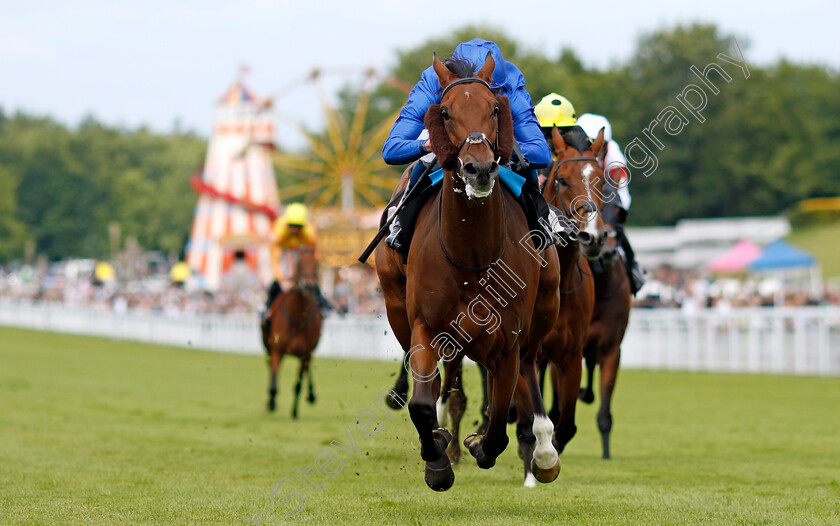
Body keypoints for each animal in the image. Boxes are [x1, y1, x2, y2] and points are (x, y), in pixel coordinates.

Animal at [264, 248, 324, 420]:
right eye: (299, 263)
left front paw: (295, 411)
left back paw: (311, 394)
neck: (297, 319)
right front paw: (271, 403)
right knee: (270, 366)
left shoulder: (305, 353)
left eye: (316, 263)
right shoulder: (277, 350)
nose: (309, 285)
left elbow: (298, 384)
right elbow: (274, 380)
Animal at [374, 52, 556, 490]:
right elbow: (422, 404)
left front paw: (479, 445)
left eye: (494, 108)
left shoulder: (508, 339)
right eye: (444, 111)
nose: (479, 169)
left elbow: (499, 423)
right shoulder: (425, 325)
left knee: (529, 372)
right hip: (396, 305)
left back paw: (544, 452)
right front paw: (437, 459)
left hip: (544, 309)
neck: (472, 255)